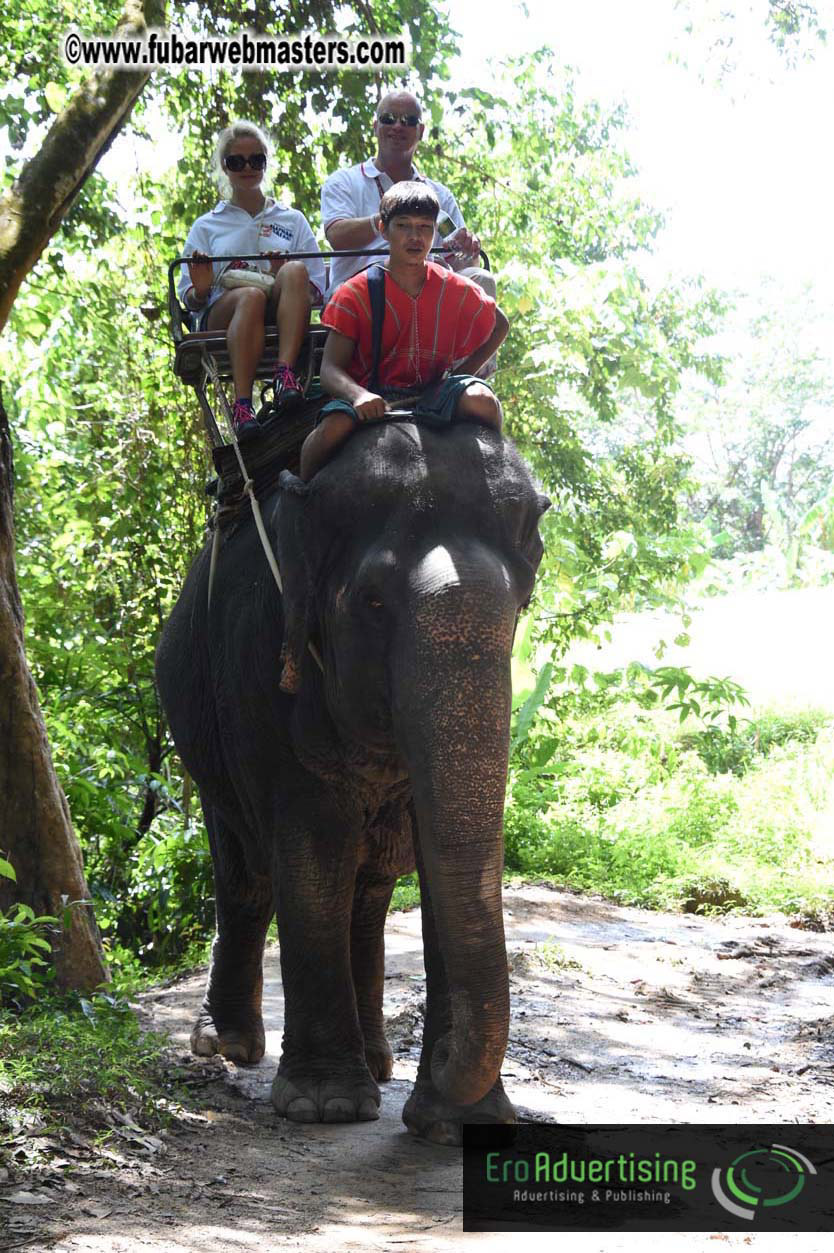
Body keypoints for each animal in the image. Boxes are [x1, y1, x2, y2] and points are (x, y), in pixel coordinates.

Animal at [155, 417, 549, 1145]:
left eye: (521, 605)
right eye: (371, 601)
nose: (442, 1052)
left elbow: (436, 858)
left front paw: (456, 1123)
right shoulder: (263, 665)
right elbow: (312, 856)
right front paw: (325, 1107)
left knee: (367, 894)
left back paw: (378, 1060)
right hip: (202, 736)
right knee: (245, 873)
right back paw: (229, 1046)